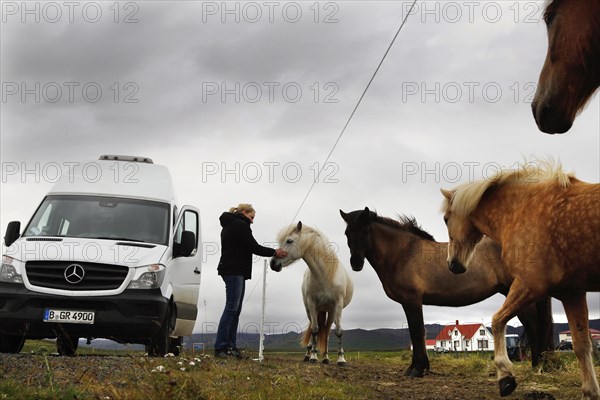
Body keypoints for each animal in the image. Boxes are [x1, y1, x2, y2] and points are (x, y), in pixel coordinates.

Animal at [270, 222, 354, 366]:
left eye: (289, 241)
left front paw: (341, 359)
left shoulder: (337, 306)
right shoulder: (312, 304)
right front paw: (313, 357)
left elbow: (338, 332)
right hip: (311, 310)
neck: (324, 276)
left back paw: (326, 357)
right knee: (316, 329)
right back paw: (308, 355)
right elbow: (314, 330)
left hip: (330, 311)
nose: (272, 263)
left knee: (326, 331)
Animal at [340, 209, 556, 378]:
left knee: (533, 326)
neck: (403, 253)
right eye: (347, 233)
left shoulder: (412, 300)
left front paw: (417, 369)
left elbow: (417, 332)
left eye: (366, 230)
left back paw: (537, 366)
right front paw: (417, 367)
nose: (356, 263)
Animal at [440, 160, 600, 400]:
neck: (523, 209)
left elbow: (497, 321)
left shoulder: (529, 285)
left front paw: (505, 377)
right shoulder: (572, 293)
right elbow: (582, 346)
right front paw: (590, 391)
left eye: (445, 219)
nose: (453, 265)